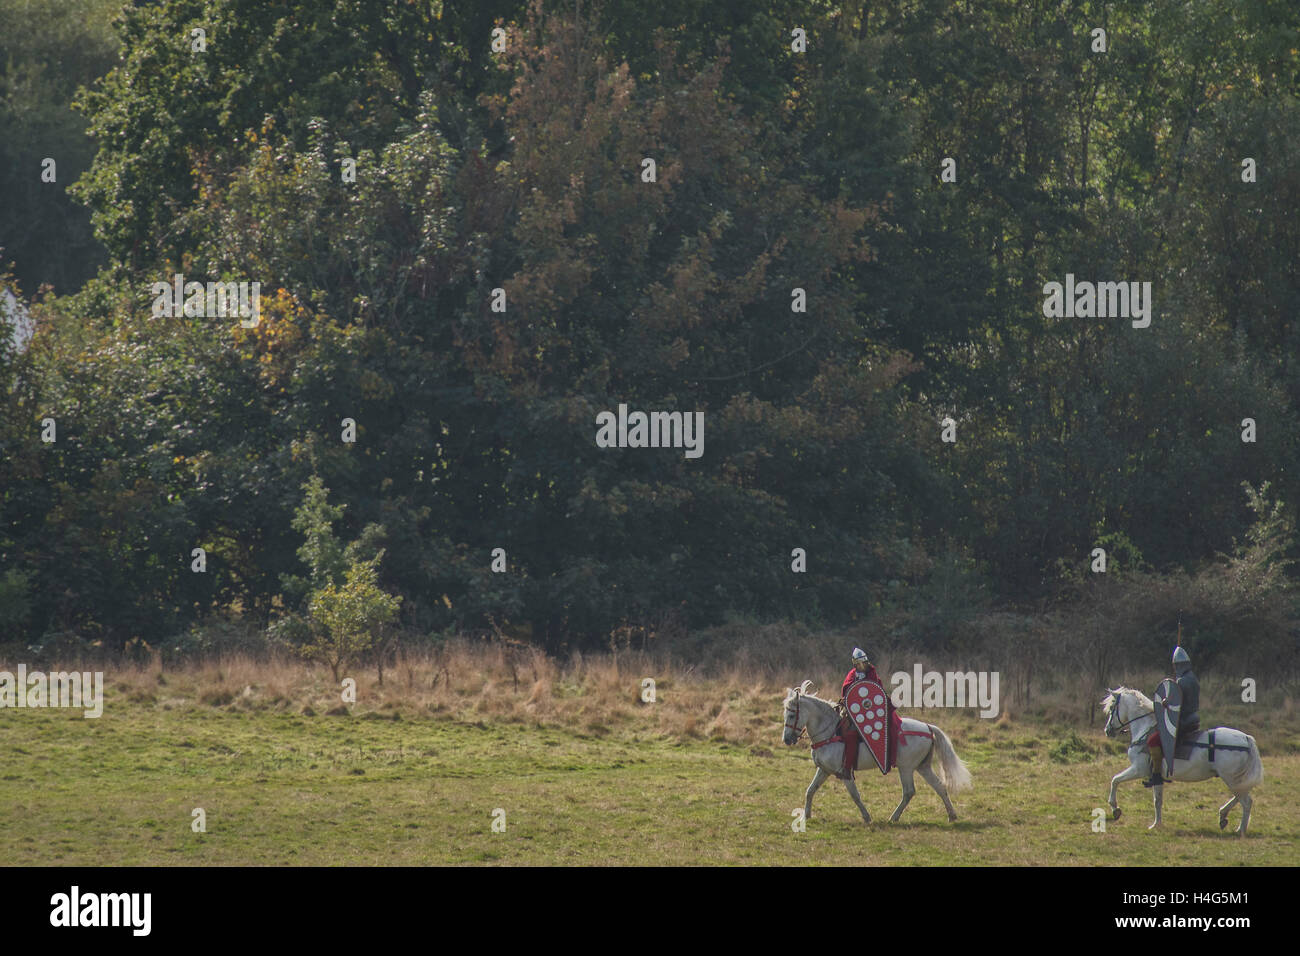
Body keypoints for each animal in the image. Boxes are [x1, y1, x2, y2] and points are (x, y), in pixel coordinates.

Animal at [780, 681, 967, 822]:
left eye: (792, 715)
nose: (787, 739)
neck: (830, 732)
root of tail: (927, 727)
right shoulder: (824, 770)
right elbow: (810, 790)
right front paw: (806, 815)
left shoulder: (845, 772)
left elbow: (855, 795)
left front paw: (867, 817)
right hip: (923, 767)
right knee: (939, 786)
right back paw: (951, 815)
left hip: (906, 768)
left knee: (909, 791)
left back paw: (894, 817)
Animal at [1102, 686, 1263, 837]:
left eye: (1111, 708)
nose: (1107, 730)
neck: (1145, 731)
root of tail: (1246, 738)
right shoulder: (1156, 776)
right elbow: (1157, 800)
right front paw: (1156, 824)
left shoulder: (1138, 769)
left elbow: (1115, 780)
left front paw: (1115, 808)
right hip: (1235, 779)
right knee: (1242, 795)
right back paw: (1223, 815)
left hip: (1231, 778)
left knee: (1246, 801)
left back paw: (1240, 829)